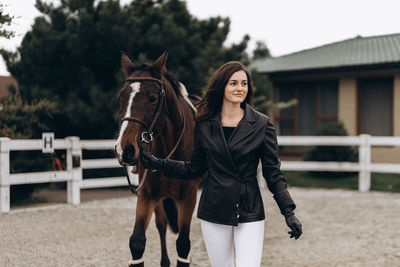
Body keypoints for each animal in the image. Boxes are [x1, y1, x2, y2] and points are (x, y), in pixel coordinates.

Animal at [115, 52, 202, 267]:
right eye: (121, 97)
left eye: (153, 98)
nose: (125, 149)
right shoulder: (147, 195)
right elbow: (137, 242)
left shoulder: (189, 196)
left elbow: (183, 244)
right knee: (161, 225)